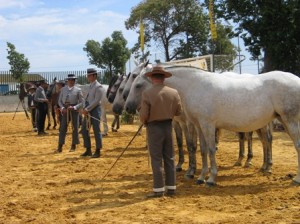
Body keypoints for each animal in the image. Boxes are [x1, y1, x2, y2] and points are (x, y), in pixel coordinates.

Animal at [125, 65, 300, 186]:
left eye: (138, 84)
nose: (127, 107)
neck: (194, 86)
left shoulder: (207, 124)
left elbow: (210, 149)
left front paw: (211, 178)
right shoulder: (198, 125)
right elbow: (202, 150)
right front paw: (201, 177)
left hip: (289, 120)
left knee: (293, 145)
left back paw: (294, 178)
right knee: (267, 142)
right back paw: (265, 167)